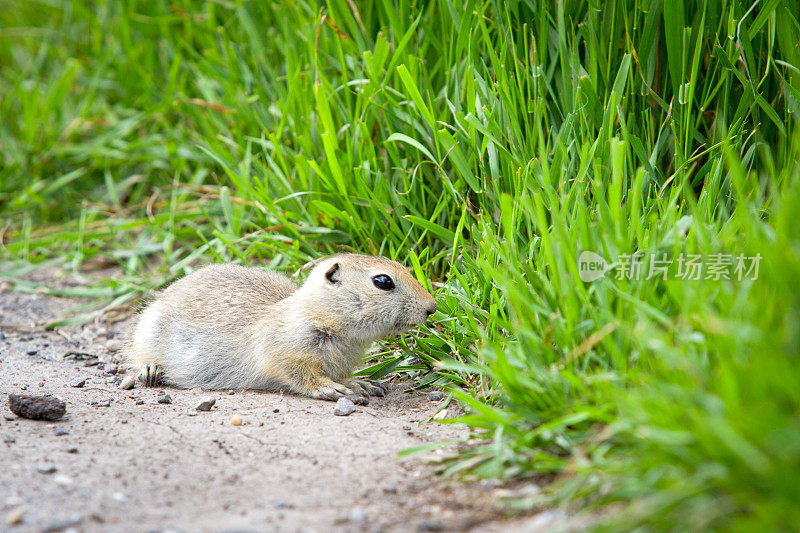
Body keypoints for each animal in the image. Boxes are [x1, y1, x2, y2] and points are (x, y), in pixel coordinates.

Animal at [123, 254, 438, 400]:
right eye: (382, 281)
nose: (432, 307)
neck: (319, 314)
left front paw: (359, 383)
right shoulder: (283, 352)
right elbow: (300, 374)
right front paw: (331, 389)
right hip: (148, 331)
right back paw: (150, 370)